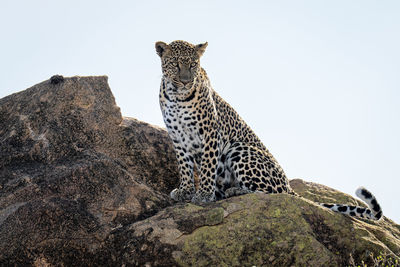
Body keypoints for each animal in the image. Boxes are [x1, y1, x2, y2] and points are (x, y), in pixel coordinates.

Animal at [155, 39, 382, 220]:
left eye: (193, 65)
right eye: (175, 64)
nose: (186, 81)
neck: (177, 96)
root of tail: (289, 186)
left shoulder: (210, 133)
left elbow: (207, 168)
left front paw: (203, 195)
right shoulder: (177, 136)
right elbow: (185, 167)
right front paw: (185, 191)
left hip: (239, 149)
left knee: (270, 194)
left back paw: (232, 191)